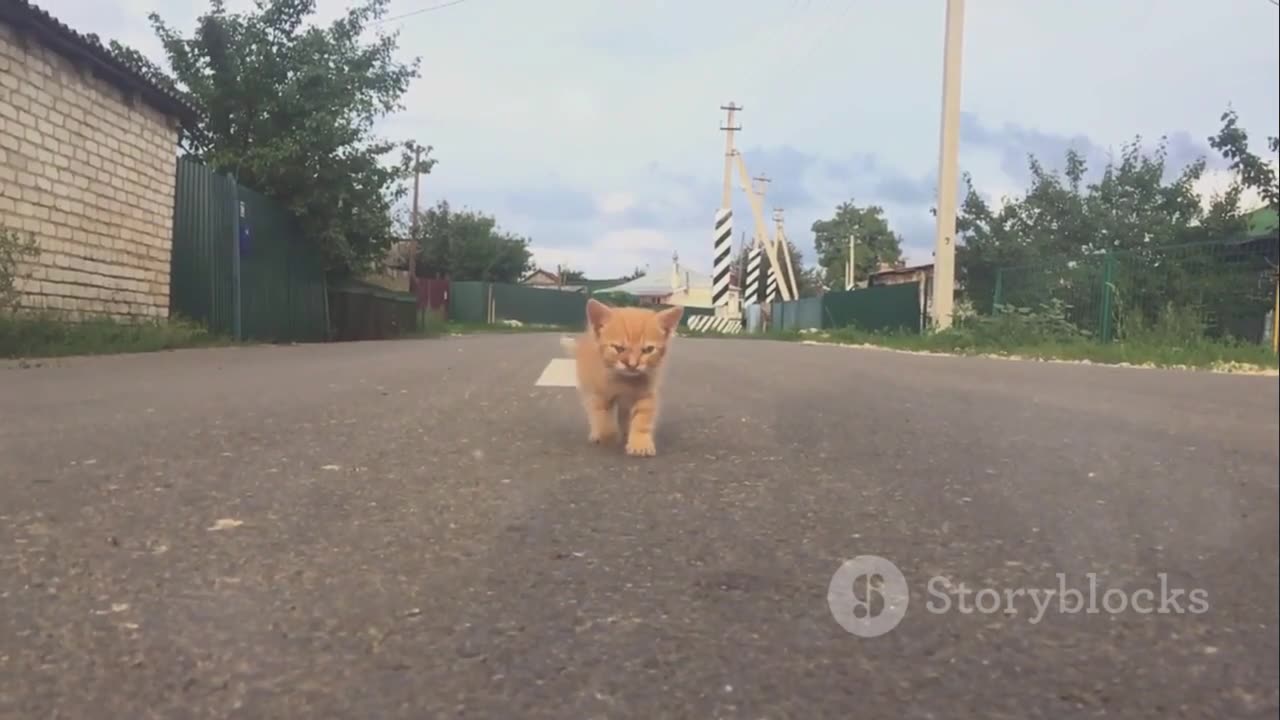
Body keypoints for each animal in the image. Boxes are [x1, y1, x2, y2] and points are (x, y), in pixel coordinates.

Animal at [565, 295, 686, 453]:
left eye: (648, 350)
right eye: (618, 348)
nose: (632, 364)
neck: (625, 381)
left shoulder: (646, 393)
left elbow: (642, 417)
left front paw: (640, 443)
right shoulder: (601, 393)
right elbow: (603, 416)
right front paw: (607, 435)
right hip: (587, 387)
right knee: (592, 410)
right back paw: (597, 433)